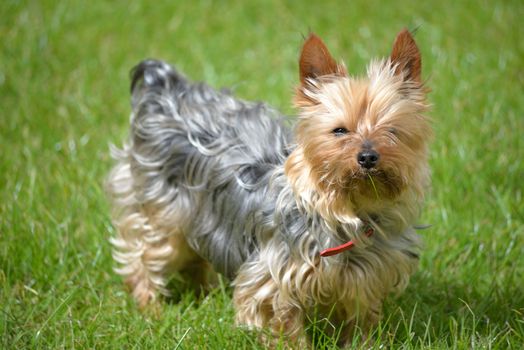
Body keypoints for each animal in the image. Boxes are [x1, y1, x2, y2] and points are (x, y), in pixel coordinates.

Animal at [106, 28, 430, 346]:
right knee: (143, 256)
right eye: (339, 130)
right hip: (162, 214)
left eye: (392, 131)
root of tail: (164, 92)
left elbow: (361, 323)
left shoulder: (368, 277)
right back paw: (151, 309)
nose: (368, 157)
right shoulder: (273, 280)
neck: (348, 213)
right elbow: (283, 326)